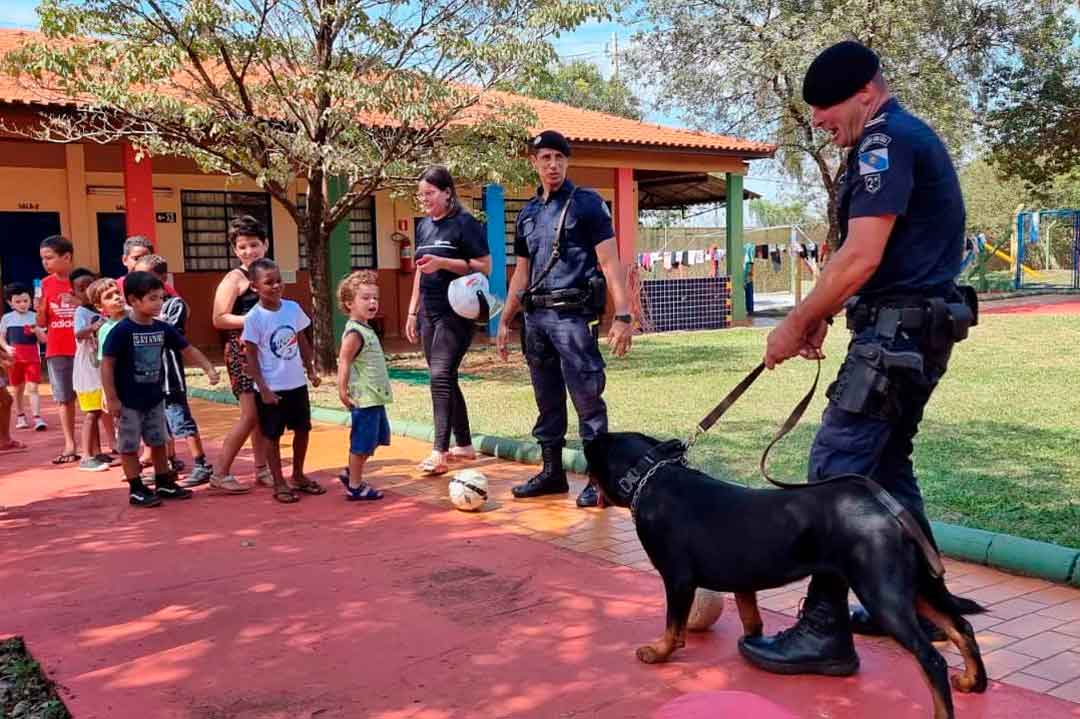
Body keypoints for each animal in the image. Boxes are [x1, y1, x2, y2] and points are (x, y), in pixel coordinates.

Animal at [587, 431, 989, 716]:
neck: (648, 477)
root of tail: (890, 506)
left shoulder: (678, 579)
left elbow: (673, 625)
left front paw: (658, 652)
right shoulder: (742, 576)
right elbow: (749, 611)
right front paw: (754, 639)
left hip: (883, 592)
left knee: (931, 658)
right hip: (918, 583)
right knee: (962, 629)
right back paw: (974, 682)